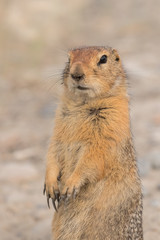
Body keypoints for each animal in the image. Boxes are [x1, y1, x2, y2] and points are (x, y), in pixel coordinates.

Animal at [43, 46, 142, 239]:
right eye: (69, 58)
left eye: (103, 59)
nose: (76, 74)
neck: (82, 104)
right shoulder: (58, 129)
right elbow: (53, 152)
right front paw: (51, 186)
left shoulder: (108, 128)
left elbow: (92, 158)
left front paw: (70, 186)